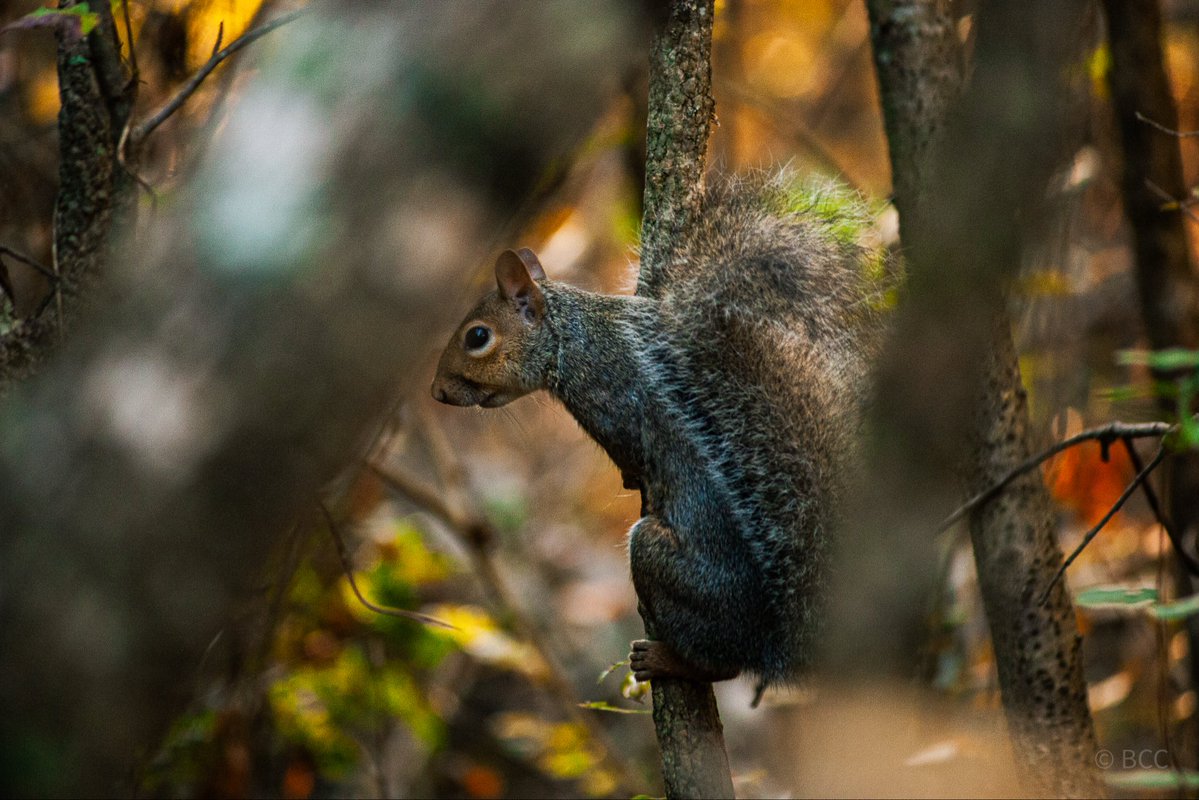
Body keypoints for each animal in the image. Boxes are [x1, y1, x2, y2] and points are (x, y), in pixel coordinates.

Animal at [431, 173, 887, 688]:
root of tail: (770, 640)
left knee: (722, 663)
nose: (437, 391)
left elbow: (632, 449)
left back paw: (669, 660)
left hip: (659, 560)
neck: (573, 334)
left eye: (477, 337)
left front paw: (635, 479)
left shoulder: (609, 398)